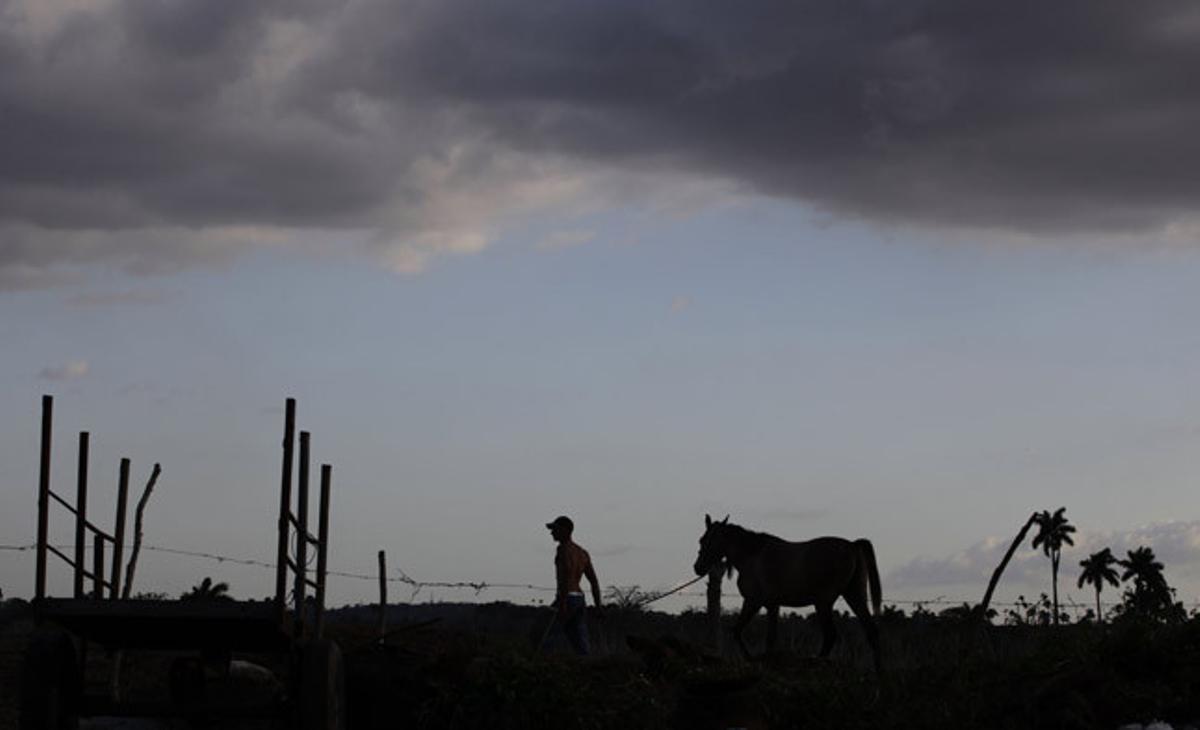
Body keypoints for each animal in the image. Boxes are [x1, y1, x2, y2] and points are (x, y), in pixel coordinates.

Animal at [696, 511, 883, 672]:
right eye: (702, 540)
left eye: (710, 540)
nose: (698, 567)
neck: (752, 555)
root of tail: (852, 545)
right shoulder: (771, 605)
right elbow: (768, 638)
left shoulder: (754, 601)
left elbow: (739, 632)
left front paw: (751, 659)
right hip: (854, 596)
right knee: (871, 632)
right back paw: (879, 674)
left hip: (823, 602)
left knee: (831, 634)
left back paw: (815, 661)